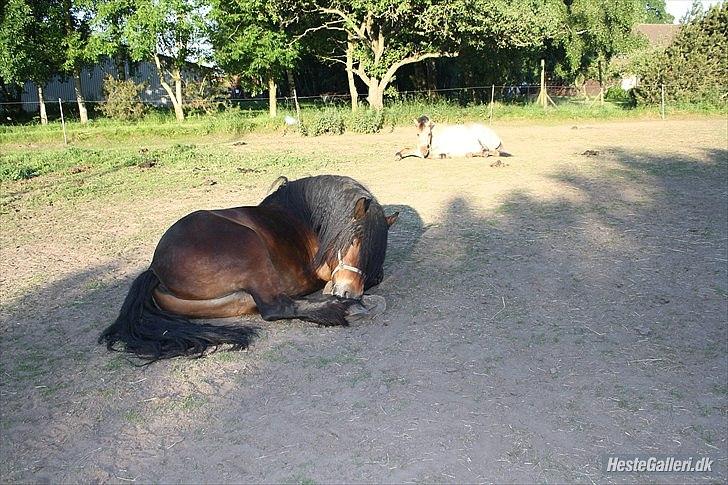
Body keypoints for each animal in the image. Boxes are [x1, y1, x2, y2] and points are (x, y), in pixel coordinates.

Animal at [98, 174, 398, 360]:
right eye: (353, 241)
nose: (351, 292)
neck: (307, 219)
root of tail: (154, 267)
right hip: (251, 247)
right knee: (275, 308)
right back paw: (344, 309)